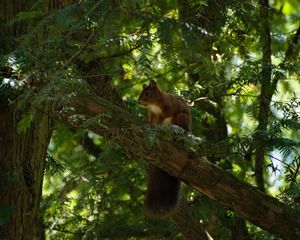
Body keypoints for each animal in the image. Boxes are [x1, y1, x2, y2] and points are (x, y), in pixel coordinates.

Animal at [138, 79, 191, 217]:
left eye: (147, 93)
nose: (138, 102)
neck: (154, 105)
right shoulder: (151, 114)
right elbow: (151, 120)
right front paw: (148, 123)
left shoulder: (171, 106)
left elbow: (167, 114)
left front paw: (160, 122)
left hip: (181, 119)